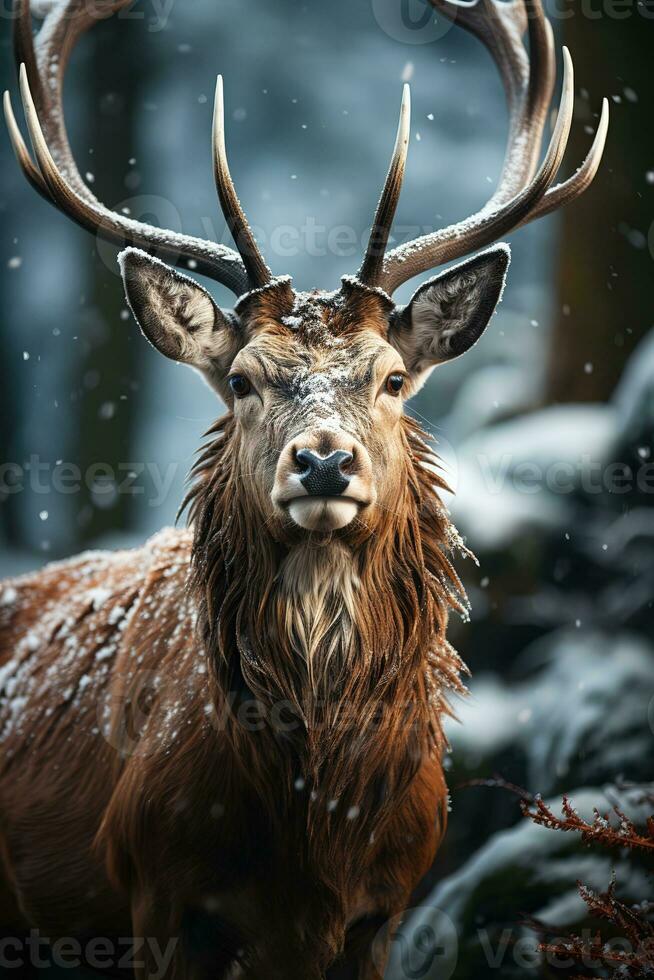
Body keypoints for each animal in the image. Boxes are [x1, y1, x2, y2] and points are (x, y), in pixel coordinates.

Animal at [0, 1, 608, 980]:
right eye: (243, 379)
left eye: (393, 377)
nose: (323, 462)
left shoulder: (389, 904)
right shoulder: (155, 892)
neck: (317, 828)